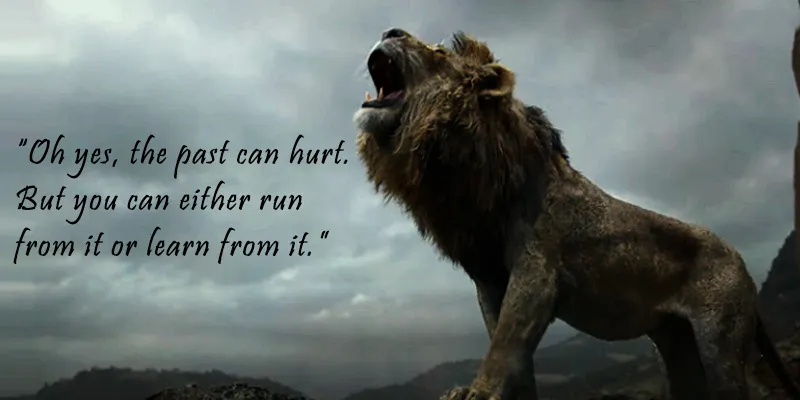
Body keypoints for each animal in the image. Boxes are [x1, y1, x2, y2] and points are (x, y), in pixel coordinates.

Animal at [353, 27, 800, 400]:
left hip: (720, 341)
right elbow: (512, 353)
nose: (390, 31)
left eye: (438, 51)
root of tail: (742, 262)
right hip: (677, 346)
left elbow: (503, 346)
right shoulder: (490, 282)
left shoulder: (538, 271)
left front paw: (476, 393)